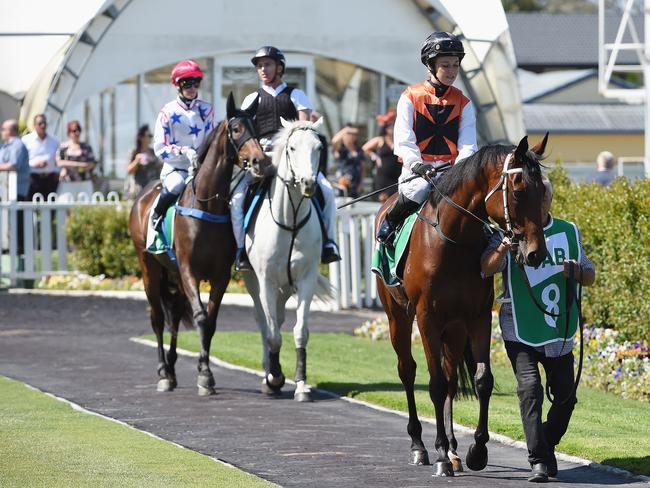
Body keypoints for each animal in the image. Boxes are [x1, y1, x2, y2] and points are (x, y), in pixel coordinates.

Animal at [129, 94, 268, 396]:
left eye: (256, 127)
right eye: (237, 129)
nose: (260, 161)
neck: (206, 205)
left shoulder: (219, 276)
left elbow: (211, 321)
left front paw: (205, 372)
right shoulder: (189, 271)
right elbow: (201, 317)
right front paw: (204, 374)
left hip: (173, 275)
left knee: (174, 317)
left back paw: (171, 369)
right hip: (149, 269)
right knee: (158, 318)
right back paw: (163, 372)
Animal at [242, 117, 326, 400]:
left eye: (319, 148)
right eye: (291, 148)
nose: (308, 183)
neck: (290, 221)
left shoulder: (305, 280)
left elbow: (300, 332)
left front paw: (301, 384)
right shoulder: (266, 281)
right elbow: (273, 335)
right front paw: (274, 378)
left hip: (286, 286)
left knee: (277, 319)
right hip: (253, 282)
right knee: (264, 323)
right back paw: (268, 371)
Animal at [374, 133, 548, 476]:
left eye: (544, 192)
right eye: (519, 190)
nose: (535, 253)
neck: (452, 240)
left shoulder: (477, 316)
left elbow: (482, 381)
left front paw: (475, 450)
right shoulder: (427, 318)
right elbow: (435, 384)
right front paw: (440, 454)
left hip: (454, 329)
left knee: (452, 376)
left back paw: (453, 448)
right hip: (398, 316)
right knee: (408, 370)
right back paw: (420, 445)